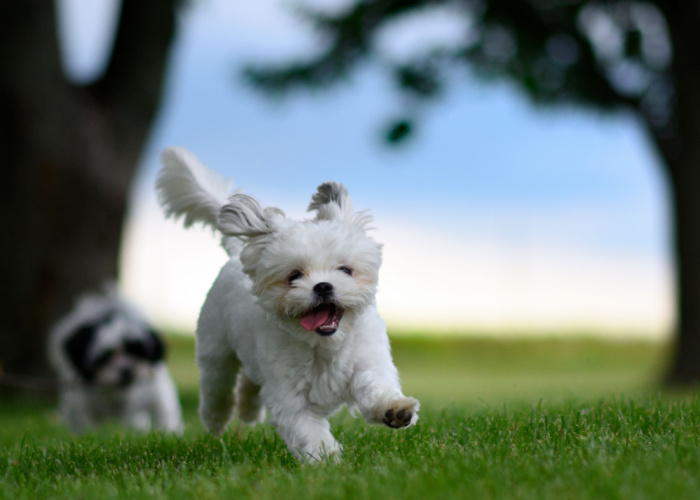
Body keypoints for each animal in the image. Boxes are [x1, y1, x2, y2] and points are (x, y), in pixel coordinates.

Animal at [156, 147, 418, 460]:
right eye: (294, 276)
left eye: (345, 270)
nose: (323, 286)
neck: (323, 347)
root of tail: (236, 255)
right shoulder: (290, 398)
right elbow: (309, 431)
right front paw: (327, 460)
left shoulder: (368, 363)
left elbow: (376, 387)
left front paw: (394, 410)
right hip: (215, 349)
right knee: (216, 386)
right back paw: (216, 420)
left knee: (249, 382)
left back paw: (248, 410)